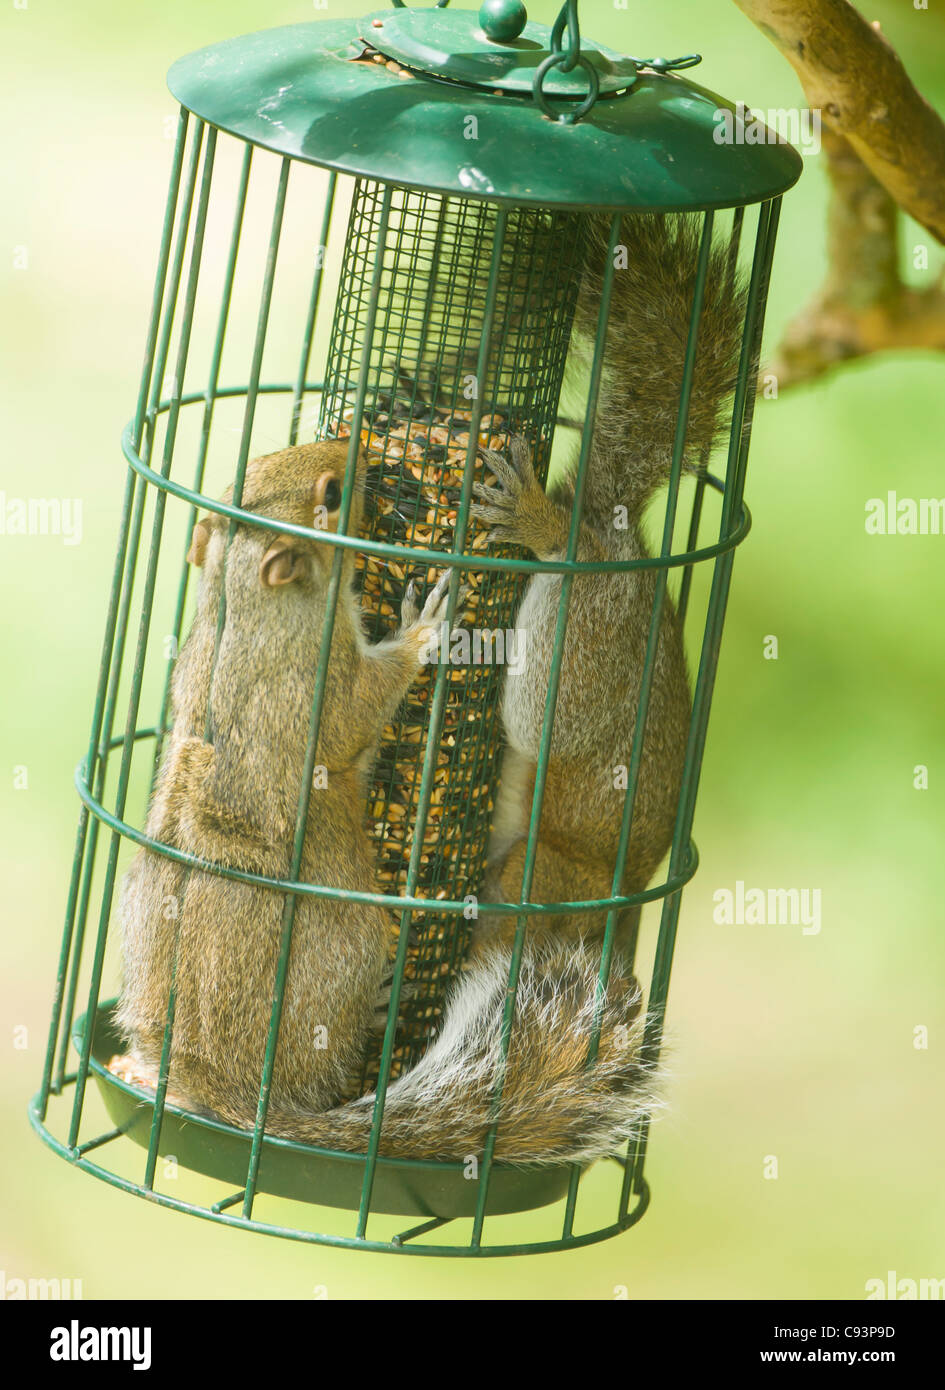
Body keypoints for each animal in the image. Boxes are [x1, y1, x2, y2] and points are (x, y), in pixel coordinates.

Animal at [115, 212, 744, 1168]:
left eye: (271, 465)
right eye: (330, 490)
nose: (357, 446)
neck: (247, 610)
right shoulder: (320, 682)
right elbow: (355, 712)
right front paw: (418, 635)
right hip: (588, 663)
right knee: (566, 608)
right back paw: (538, 520)